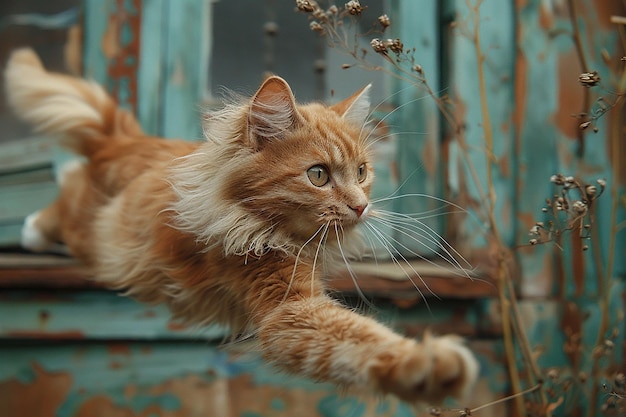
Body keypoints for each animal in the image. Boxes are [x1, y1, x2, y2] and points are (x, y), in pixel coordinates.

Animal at [4, 48, 476, 404]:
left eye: (361, 172)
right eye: (318, 175)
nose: (361, 207)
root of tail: (129, 142)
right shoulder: (289, 309)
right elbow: (359, 340)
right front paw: (427, 364)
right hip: (96, 233)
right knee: (67, 190)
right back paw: (31, 231)